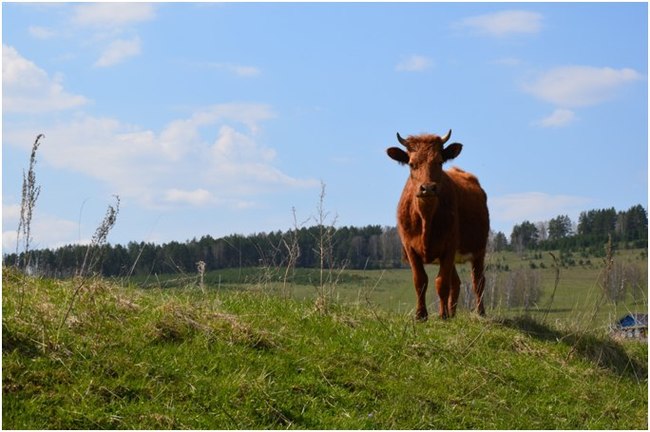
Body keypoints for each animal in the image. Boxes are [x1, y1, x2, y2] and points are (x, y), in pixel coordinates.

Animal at [384, 130, 486, 322]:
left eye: (439, 162)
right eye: (411, 164)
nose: (428, 188)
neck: (426, 218)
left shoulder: (449, 246)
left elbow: (441, 282)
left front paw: (443, 315)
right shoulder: (410, 248)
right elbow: (420, 281)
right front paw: (421, 315)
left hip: (479, 249)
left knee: (478, 281)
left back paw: (480, 313)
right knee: (456, 282)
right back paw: (452, 313)